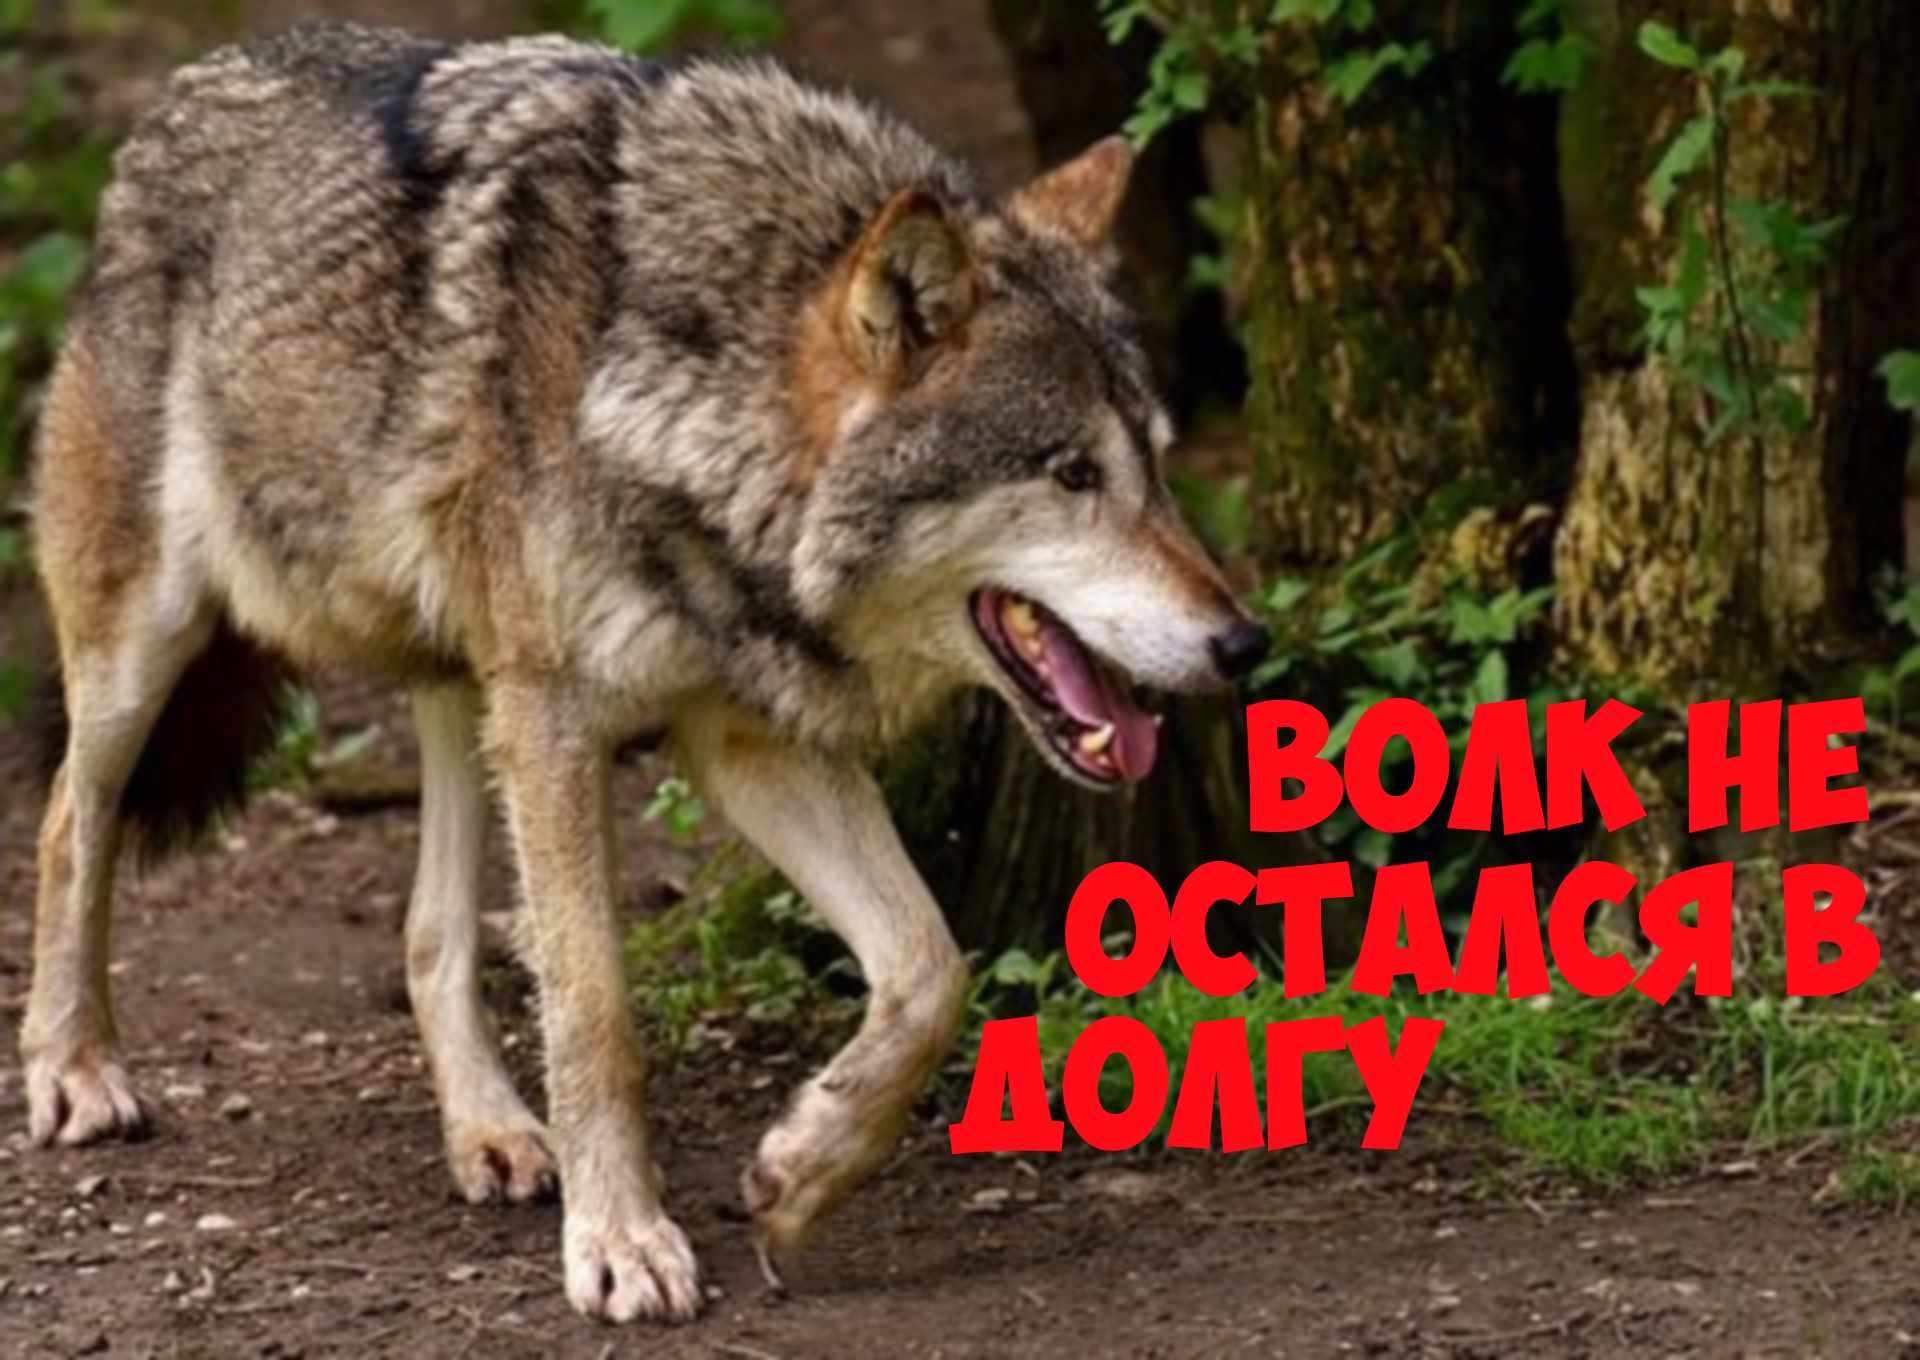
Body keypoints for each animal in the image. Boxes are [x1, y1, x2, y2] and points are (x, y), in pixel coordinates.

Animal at [21, 22, 1269, 1324]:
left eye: (1159, 467)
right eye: (1072, 474)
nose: (1244, 643)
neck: (684, 402)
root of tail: (181, 91)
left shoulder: (744, 738)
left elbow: (931, 968)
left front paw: (801, 1174)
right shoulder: (564, 721)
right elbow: (596, 1009)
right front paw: (620, 1239)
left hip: (466, 688)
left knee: (430, 929)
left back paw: (492, 1132)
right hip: (153, 644)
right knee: (69, 820)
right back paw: (73, 1069)